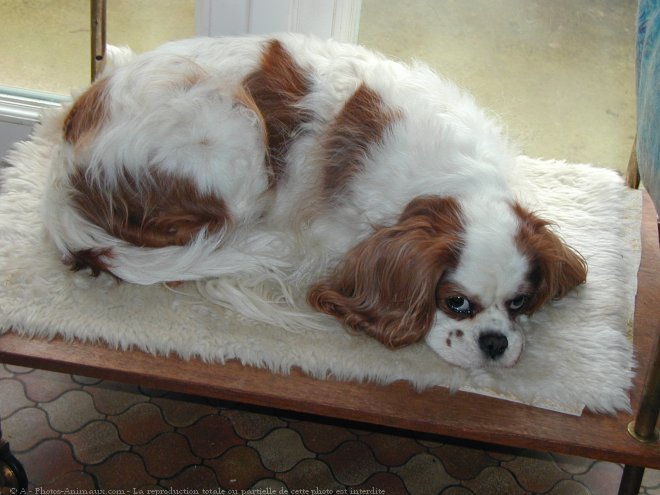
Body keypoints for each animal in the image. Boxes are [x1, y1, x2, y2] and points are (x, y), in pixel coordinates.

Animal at [42, 33, 588, 370]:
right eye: (455, 302)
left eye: (519, 303)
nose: (495, 343)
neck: (458, 178)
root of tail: (65, 164)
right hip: (237, 126)